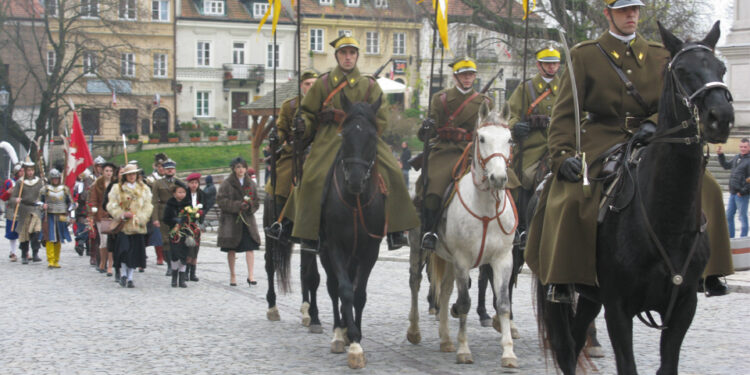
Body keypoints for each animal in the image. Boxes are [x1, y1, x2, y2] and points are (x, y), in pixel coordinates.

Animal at [408, 105, 520, 368]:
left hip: (448, 259)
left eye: (509, 139)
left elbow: (503, 303)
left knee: (446, 289)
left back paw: (446, 339)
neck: (487, 207)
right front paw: (464, 350)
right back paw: (415, 331)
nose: (499, 178)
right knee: (416, 282)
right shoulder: (462, 260)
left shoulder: (503, 259)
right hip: (419, 246)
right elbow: (465, 303)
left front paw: (508, 353)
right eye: (482, 138)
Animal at [536, 22, 736, 374]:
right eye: (682, 71)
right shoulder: (618, 308)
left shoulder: (684, 306)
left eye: (721, 68)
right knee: (565, 348)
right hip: (556, 284)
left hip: (590, 297)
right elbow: (627, 365)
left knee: (577, 339)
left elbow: (668, 365)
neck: (666, 219)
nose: (720, 117)